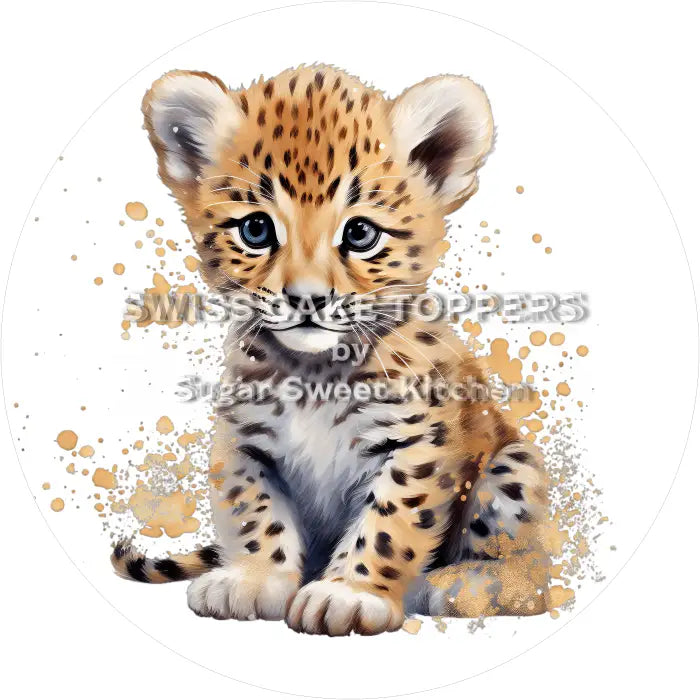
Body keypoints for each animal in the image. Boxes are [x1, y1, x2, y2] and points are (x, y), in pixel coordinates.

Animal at [111, 64, 549, 635]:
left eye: (360, 233)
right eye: (256, 229)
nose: (307, 298)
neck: (313, 372)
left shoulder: (417, 442)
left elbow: (390, 521)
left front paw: (348, 593)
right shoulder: (242, 441)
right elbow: (254, 512)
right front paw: (252, 579)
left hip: (514, 464)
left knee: (535, 576)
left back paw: (472, 583)